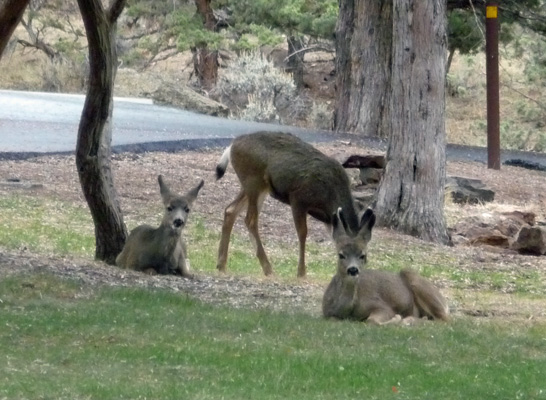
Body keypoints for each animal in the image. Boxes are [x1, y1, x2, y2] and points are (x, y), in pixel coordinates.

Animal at [214, 131, 362, 278]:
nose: (354, 270)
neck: (331, 194)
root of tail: (231, 146)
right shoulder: (298, 199)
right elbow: (302, 233)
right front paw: (301, 272)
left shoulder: (329, 218)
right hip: (253, 181)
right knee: (250, 220)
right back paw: (268, 268)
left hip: (257, 187)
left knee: (230, 210)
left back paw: (221, 264)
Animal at [320, 208, 448, 324]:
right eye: (341, 255)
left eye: (363, 255)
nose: (353, 270)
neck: (347, 310)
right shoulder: (327, 314)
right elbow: (333, 319)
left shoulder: (381, 305)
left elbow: (372, 320)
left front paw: (396, 318)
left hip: (414, 279)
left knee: (444, 319)